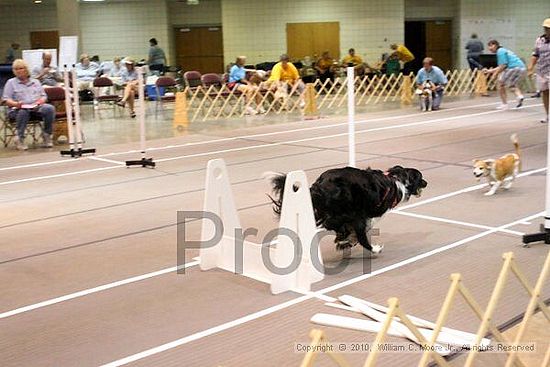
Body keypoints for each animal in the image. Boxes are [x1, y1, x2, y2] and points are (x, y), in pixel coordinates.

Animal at [270, 166, 430, 254]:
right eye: (420, 177)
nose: (426, 183)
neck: (398, 180)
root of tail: (319, 185)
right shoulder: (366, 215)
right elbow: (362, 231)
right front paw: (349, 241)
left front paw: (344, 241)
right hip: (350, 211)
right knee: (334, 224)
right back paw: (373, 248)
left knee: (332, 223)